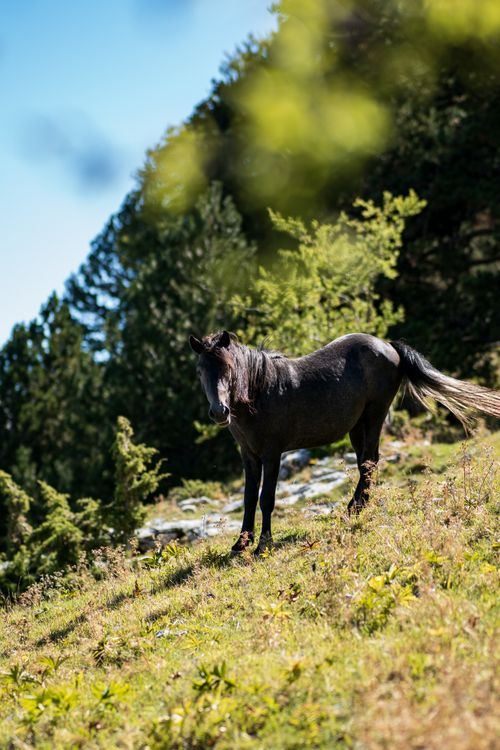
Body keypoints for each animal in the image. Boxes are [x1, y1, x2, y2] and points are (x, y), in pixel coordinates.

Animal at [190, 330, 500, 554]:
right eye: (200, 370)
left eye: (228, 367)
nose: (219, 412)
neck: (258, 394)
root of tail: (388, 346)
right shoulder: (249, 456)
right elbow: (249, 498)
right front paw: (240, 544)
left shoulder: (272, 454)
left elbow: (266, 498)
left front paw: (263, 544)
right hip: (357, 425)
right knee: (366, 463)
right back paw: (356, 507)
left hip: (375, 414)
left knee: (370, 461)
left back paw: (355, 508)